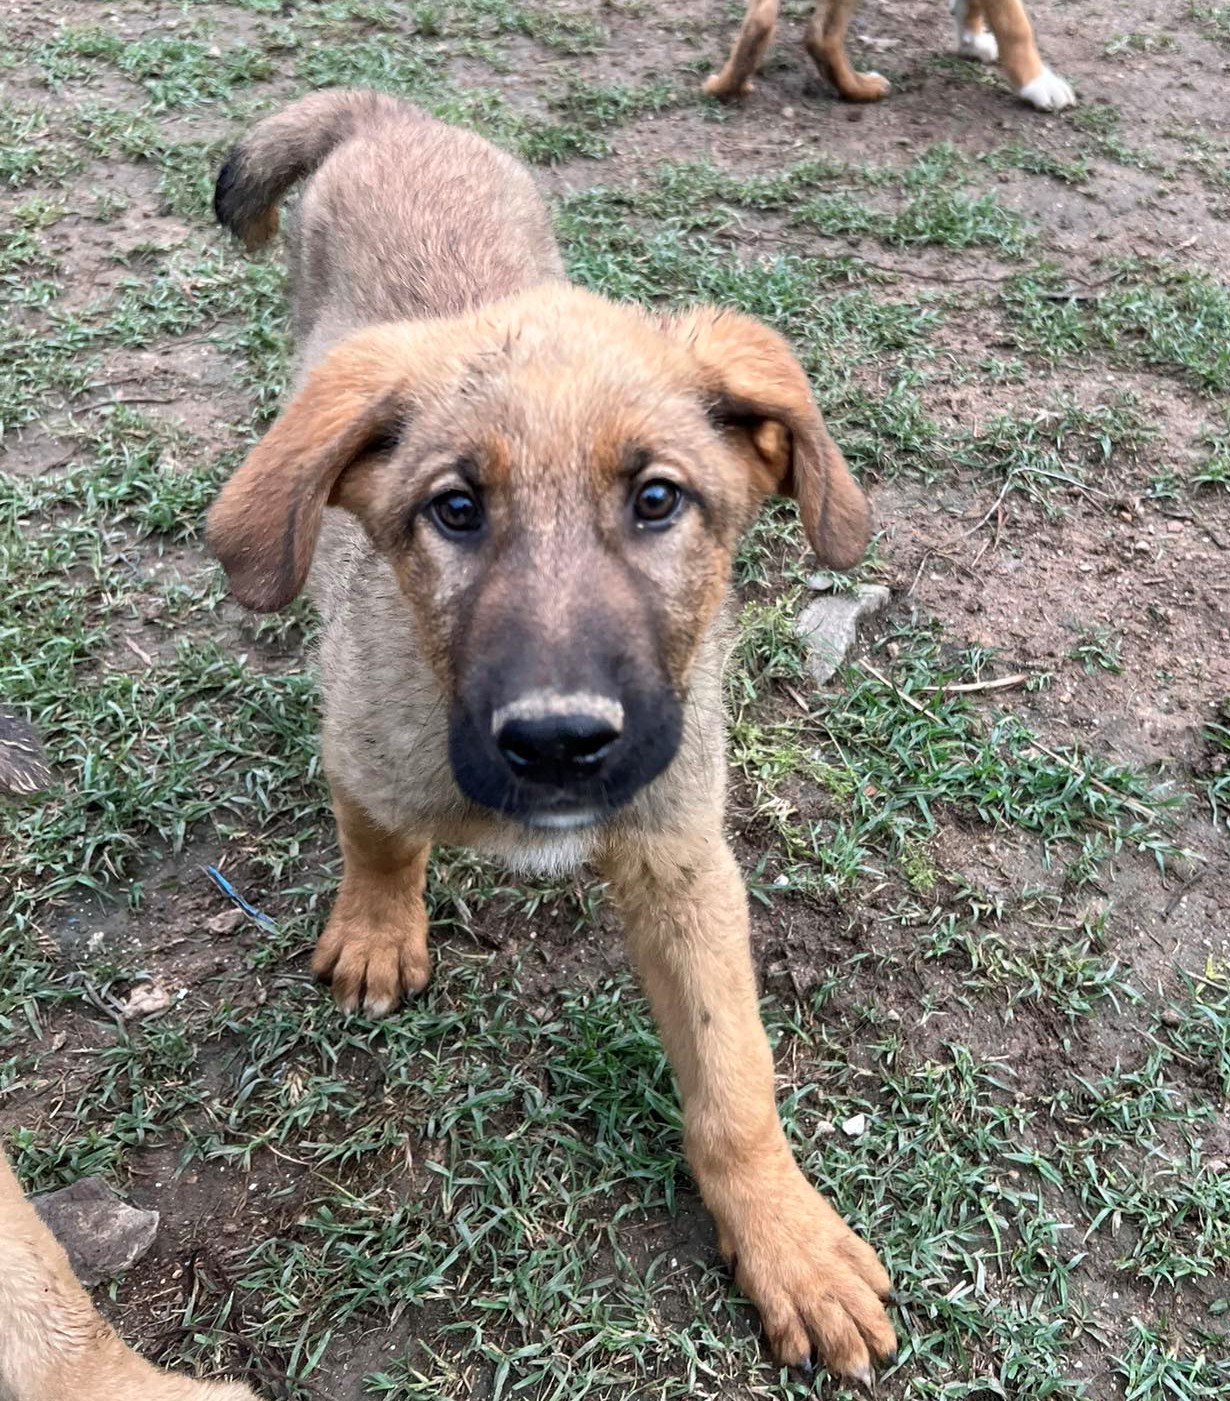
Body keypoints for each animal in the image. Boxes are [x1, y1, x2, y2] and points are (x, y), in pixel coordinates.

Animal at [210, 93, 896, 1384]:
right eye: (454, 510)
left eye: (658, 500)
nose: (562, 742)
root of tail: (386, 108)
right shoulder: (367, 742)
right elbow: (380, 840)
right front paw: (377, 931)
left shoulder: (681, 852)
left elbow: (734, 1075)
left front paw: (787, 1239)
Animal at [708, 0, 1075, 112]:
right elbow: (1015, 24)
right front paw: (1036, 83)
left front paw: (970, 40)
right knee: (821, 36)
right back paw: (861, 89)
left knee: (762, 22)